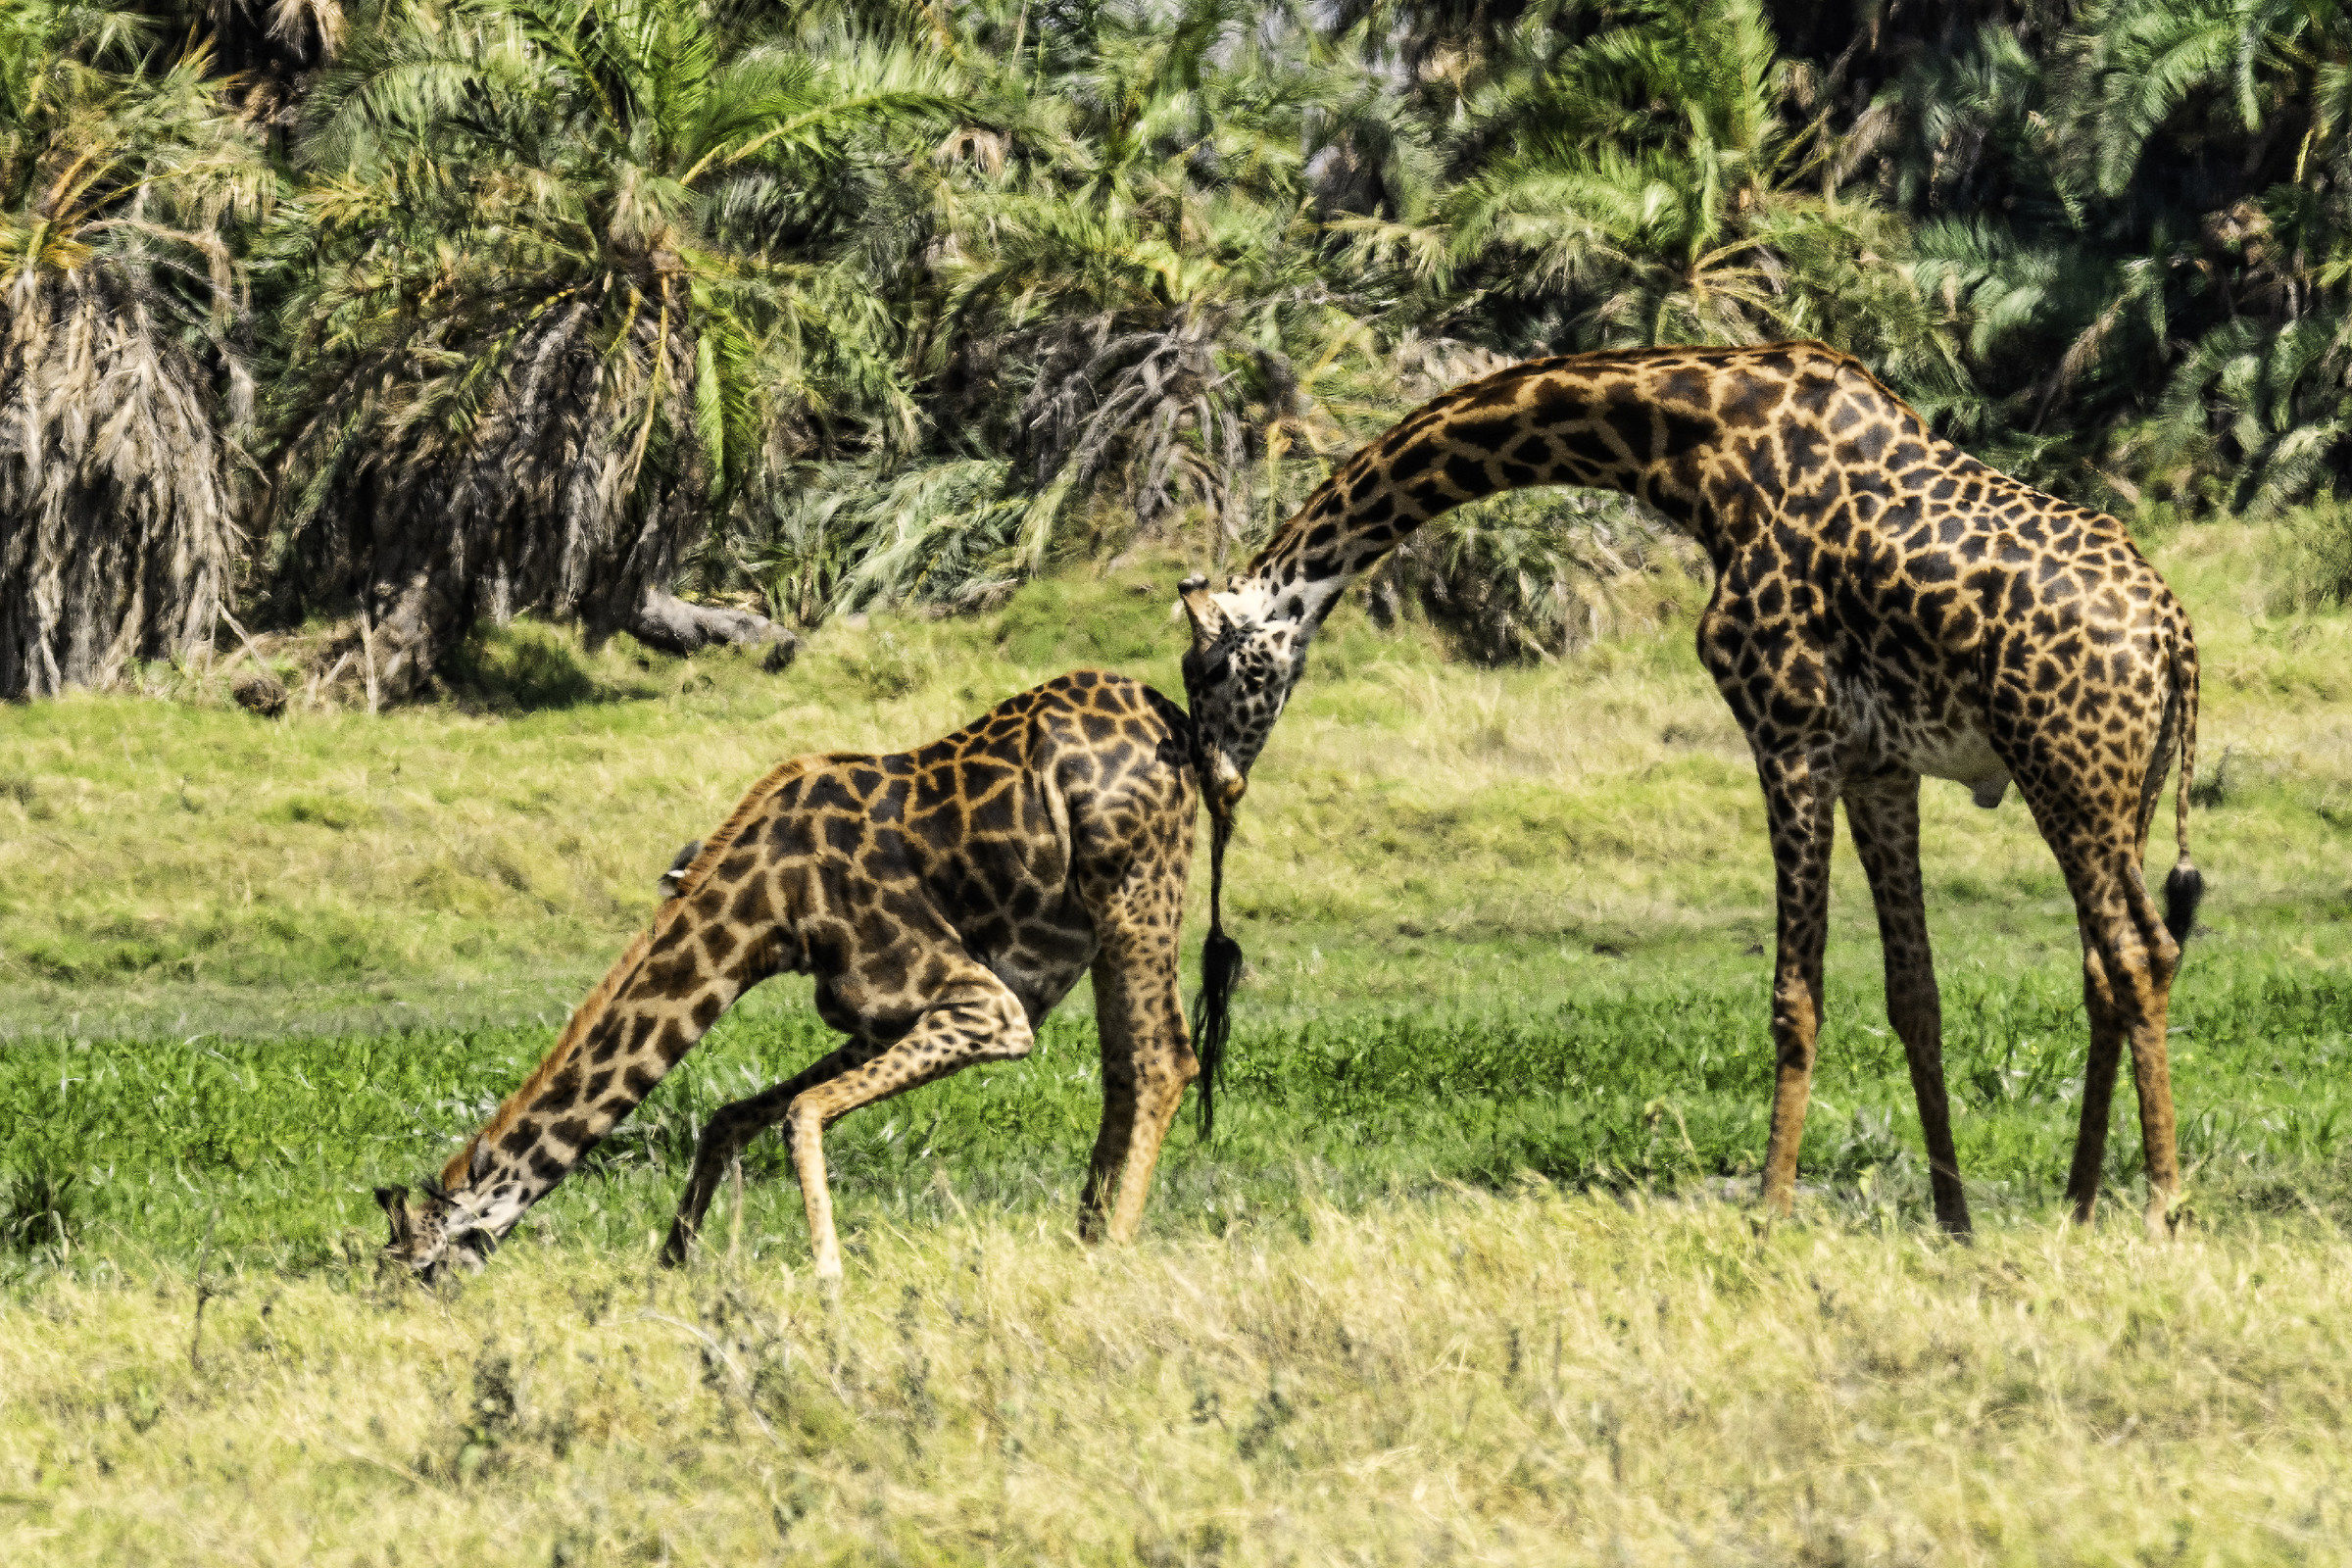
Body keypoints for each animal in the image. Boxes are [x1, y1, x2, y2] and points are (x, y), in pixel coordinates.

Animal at [374, 670, 1231, 1282]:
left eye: (421, 1267)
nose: (398, 1312)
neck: (769, 907)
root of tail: (1176, 723)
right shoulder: (878, 1018)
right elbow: (733, 1116)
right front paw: (670, 1268)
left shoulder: (983, 1005)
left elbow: (801, 1112)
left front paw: (827, 1274)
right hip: (1109, 918)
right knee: (1124, 1067)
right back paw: (1080, 1241)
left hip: (1135, 886)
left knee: (1163, 1060)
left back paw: (1111, 1251)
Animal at [1176, 341, 2201, 1238]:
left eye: (1210, 669)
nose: (1219, 785)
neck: (1700, 452)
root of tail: (2173, 636)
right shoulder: (1878, 765)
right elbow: (1916, 994)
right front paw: (1953, 1222)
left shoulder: (1789, 732)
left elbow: (1796, 994)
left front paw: (1769, 1215)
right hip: (2116, 791)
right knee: (2106, 965)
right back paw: (2078, 1208)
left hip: (2067, 774)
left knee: (2140, 953)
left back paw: (2161, 1210)